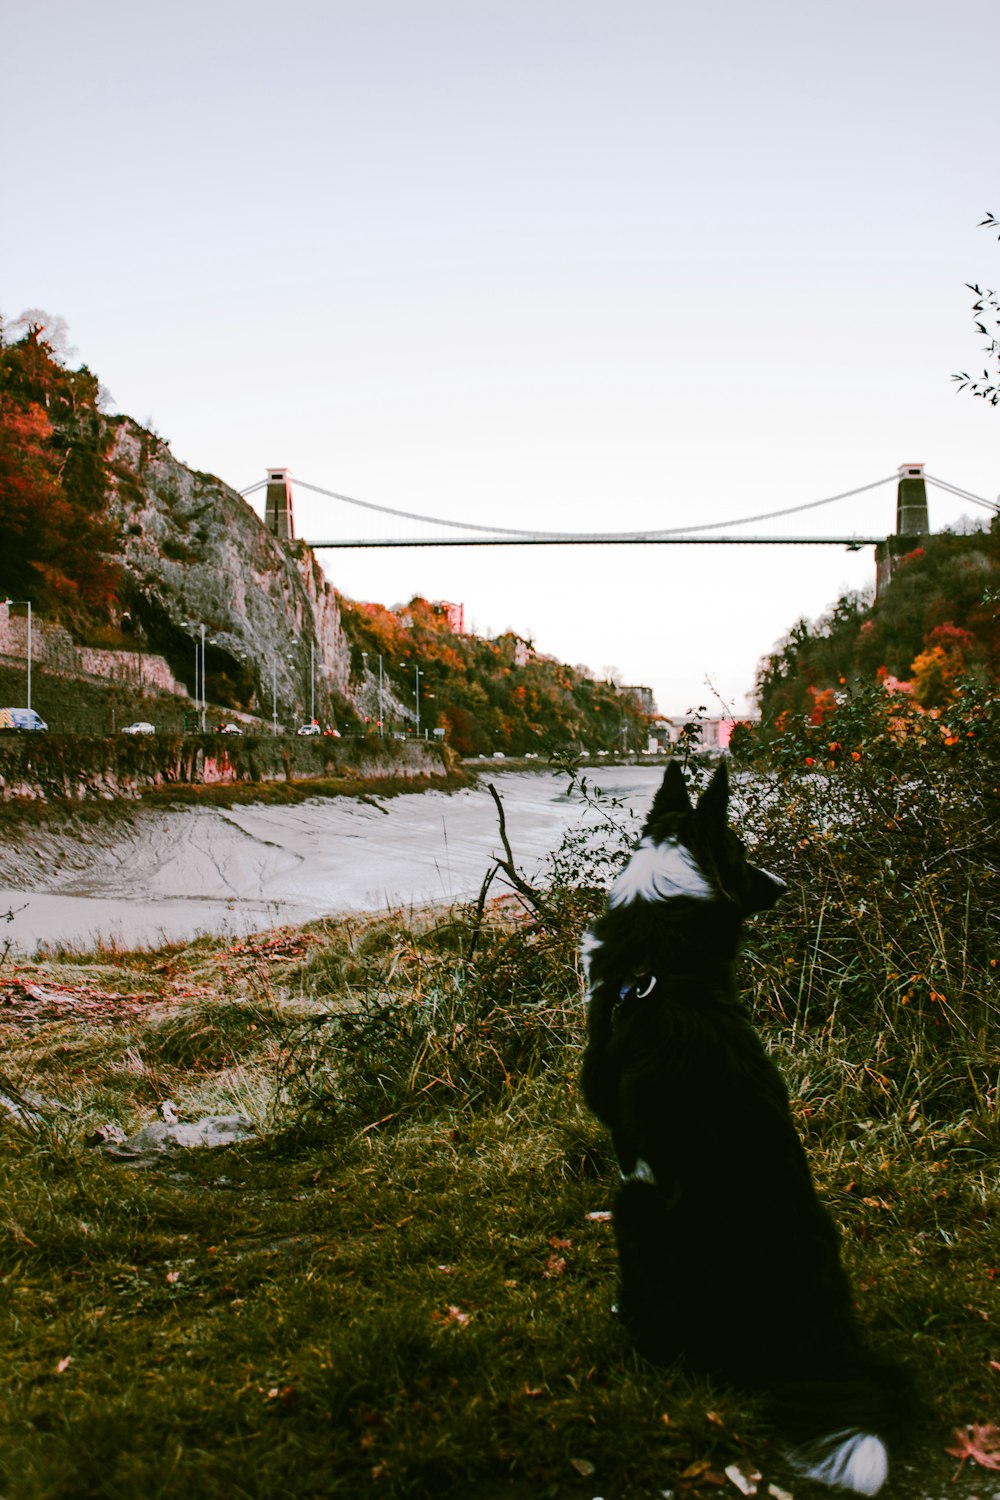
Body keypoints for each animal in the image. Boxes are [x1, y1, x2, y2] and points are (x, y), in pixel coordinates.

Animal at [578, 768, 905, 1494]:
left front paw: (621, 1309)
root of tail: (806, 1339)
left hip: (636, 1205)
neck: (657, 966)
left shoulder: (629, 1150)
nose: (782, 886)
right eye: (740, 850)